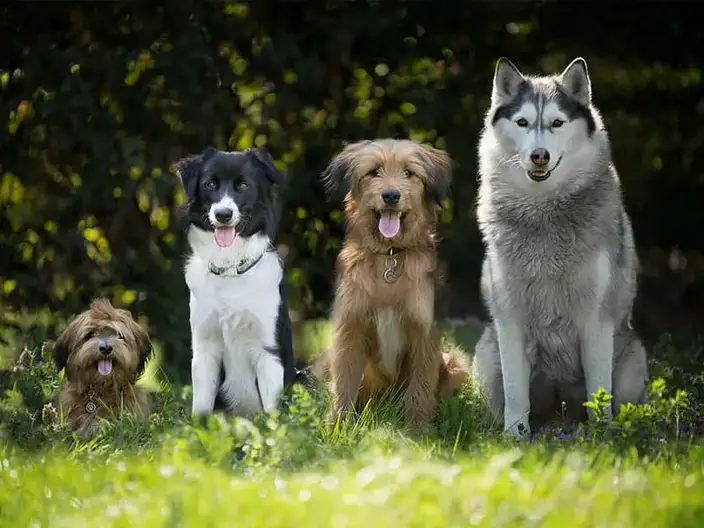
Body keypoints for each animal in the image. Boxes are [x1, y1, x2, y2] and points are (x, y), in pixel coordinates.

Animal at [172, 146, 296, 418]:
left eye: (243, 185)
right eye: (210, 184)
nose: (223, 214)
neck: (231, 270)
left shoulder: (268, 350)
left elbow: (273, 412)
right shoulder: (205, 348)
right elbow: (202, 407)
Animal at [322, 138, 470, 426]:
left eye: (408, 173)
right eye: (374, 171)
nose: (391, 195)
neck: (389, 256)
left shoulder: (424, 333)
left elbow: (420, 389)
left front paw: (417, 429)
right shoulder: (350, 329)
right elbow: (344, 385)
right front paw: (337, 428)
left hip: (456, 363)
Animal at [472, 56, 648, 442]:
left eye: (556, 123)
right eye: (523, 122)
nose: (540, 155)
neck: (543, 214)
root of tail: (559, 414)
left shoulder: (595, 318)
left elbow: (599, 390)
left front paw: (602, 437)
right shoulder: (510, 319)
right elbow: (515, 393)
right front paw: (515, 437)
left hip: (633, 357)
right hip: (487, 352)